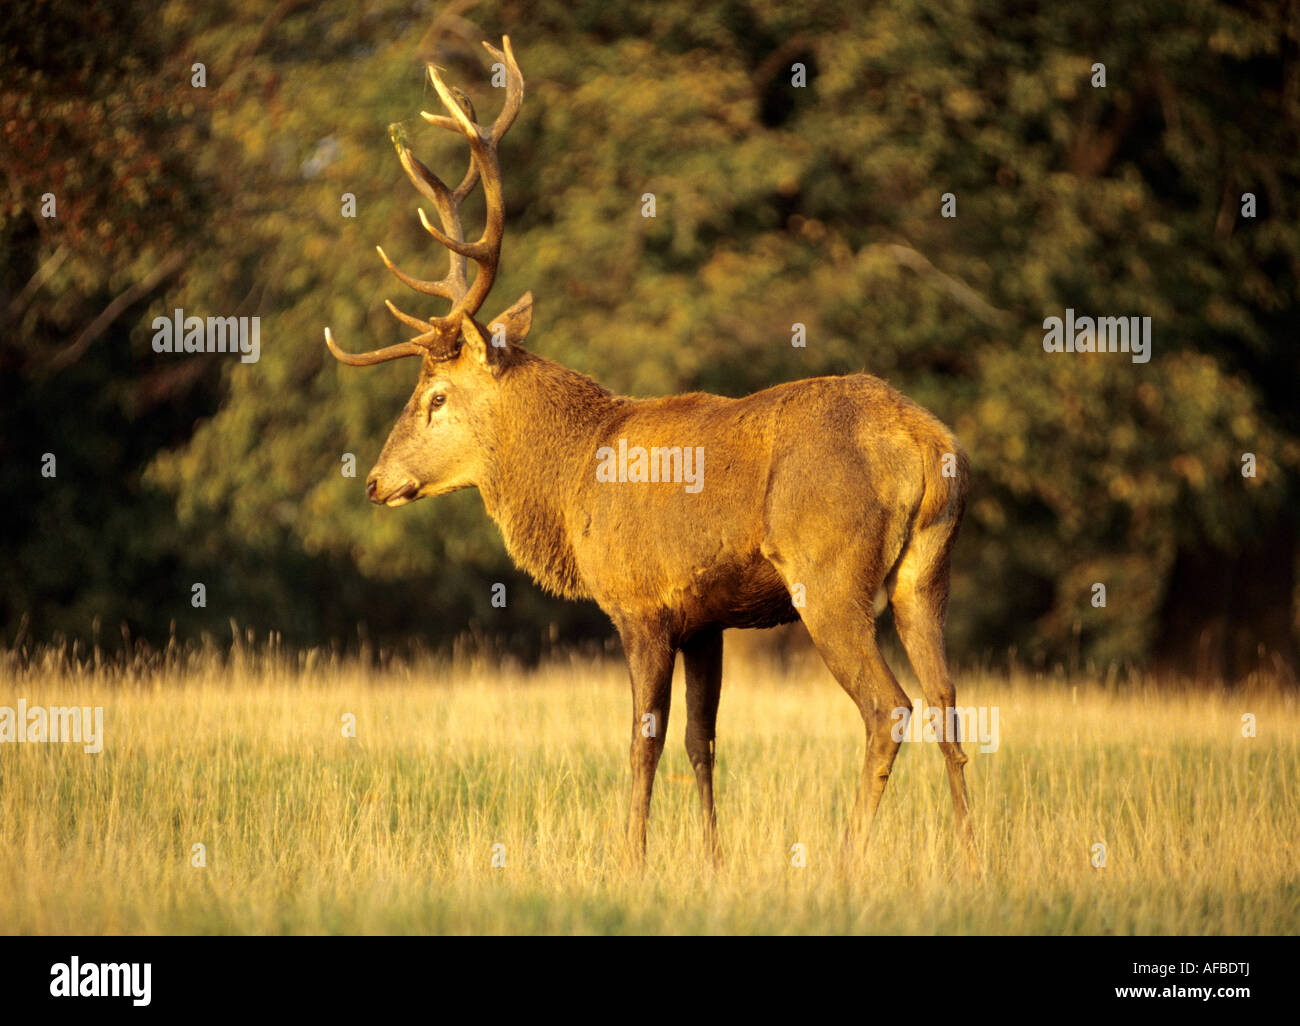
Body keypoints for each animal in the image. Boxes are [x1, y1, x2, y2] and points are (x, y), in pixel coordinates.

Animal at [324, 36, 980, 874]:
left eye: (435, 396)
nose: (376, 481)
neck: (572, 482)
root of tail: (925, 447)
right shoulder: (706, 619)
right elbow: (703, 743)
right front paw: (712, 860)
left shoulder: (640, 602)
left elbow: (645, 744)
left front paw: (629, 860)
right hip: (926, 572)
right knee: (950, 704)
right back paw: (971, 853)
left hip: (829, 576)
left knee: (889, 707)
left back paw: (846, 857)